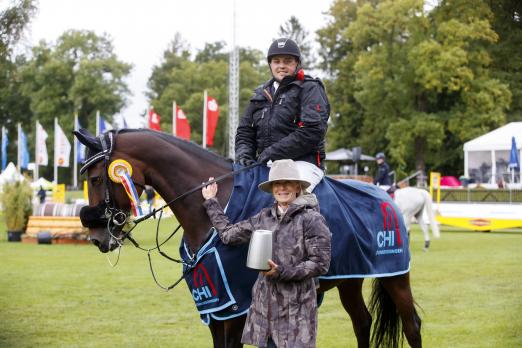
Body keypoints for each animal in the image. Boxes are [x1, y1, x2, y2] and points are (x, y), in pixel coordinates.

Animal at [75, 129, 420, 346]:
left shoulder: (237, 308)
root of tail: (387, 198)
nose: (97, 237)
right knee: (362, 323)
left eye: (96, 178)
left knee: (412, 325)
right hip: (350, 279)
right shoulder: (216, 307)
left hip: (396, 278)